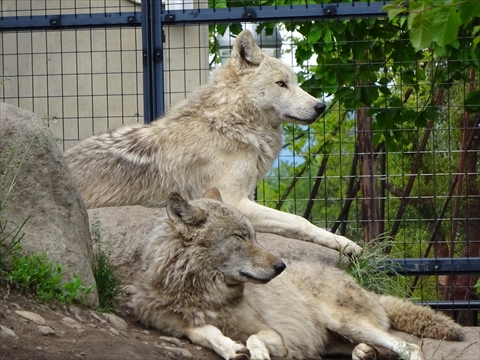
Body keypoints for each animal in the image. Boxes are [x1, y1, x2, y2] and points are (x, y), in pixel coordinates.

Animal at [65, 30, 362, 256]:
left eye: (297, 83)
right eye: (281, 83)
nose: (321, 106)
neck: (231, 122)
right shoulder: (233, 200)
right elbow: (300, 220)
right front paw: (345, 243)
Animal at [131, 188, 464, 360]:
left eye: (255, 236)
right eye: (239, 237)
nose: (280, 267)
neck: (203, 294)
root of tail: (363, 286)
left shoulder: (276, 335)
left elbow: (256, 338)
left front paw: (256, 352)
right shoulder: (181, 327)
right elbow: (208, 332)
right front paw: (231, 347)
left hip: (346, 322)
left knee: (408, 347)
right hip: (338, 338)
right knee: (381, 349)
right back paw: (365, 353)